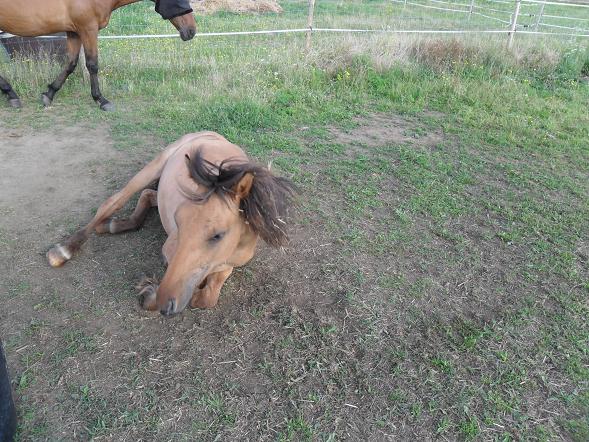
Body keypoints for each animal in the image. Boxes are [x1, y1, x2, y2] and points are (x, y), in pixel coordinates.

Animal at [0, 0, 198, 110]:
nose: (191, 30)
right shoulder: (88, 28)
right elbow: (92, 65)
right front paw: (101, 100)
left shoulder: (74, 32)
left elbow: (71, 64)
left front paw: (49, 94)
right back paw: (11, 94)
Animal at [46, 133, 296, 316]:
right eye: (178, 221)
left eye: (218, 235)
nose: (166, 304)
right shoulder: (170, 253)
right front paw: (150, 292)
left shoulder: (228, 265)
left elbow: (206, 297)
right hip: (151, 169)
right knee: (113, 202)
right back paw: (65, 249)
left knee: (148, 195)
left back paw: (113, 225)